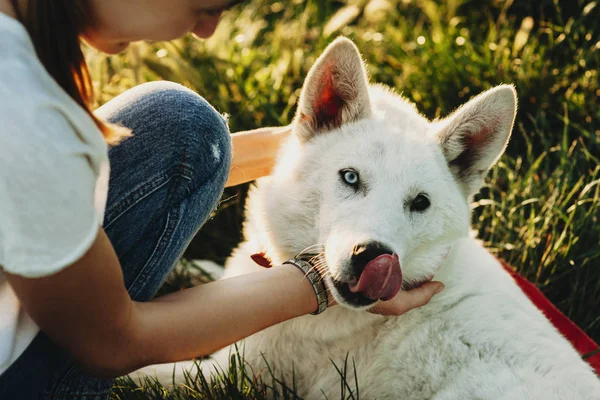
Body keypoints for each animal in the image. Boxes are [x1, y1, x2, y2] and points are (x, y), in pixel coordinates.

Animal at [137, 36, 600, 396]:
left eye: (420, 203)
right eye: (350, 177)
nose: (371, 256)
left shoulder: (230, 373)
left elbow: (143, 375)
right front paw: (190, 267)